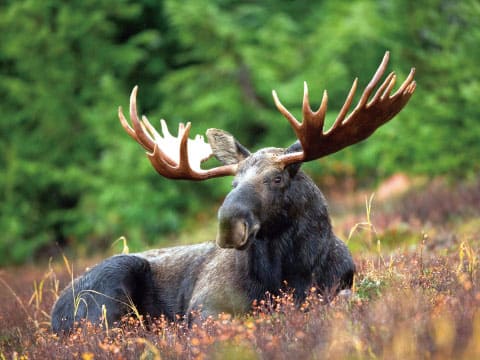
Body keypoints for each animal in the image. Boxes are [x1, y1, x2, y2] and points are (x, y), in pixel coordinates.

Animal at [50, 52, 414, 334]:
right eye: (232, 183)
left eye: (277, 178)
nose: (228, 224)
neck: (291, 272)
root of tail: (54, 314)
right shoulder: (204, 305)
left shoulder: (339, 286)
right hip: (109, 288)